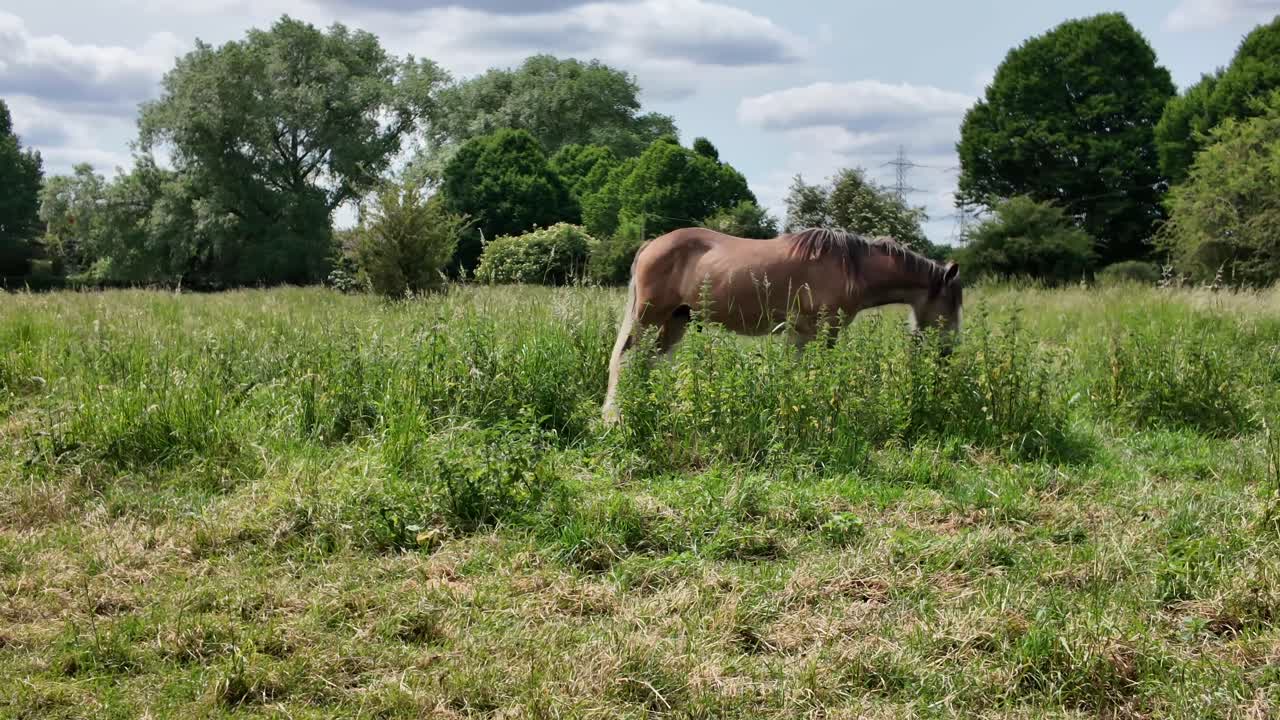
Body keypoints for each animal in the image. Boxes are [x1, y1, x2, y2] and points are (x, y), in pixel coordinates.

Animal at [600, 226, 963, 424]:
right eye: (953, 303)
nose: (949, 351)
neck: (852, 267)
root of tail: (652, 244)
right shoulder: (824, 331)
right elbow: (817, 373)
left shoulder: (800, 334)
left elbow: (794, 373)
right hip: (649, 317)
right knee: (626, 359)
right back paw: (615, 416)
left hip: (675, 320)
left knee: (648, 361)